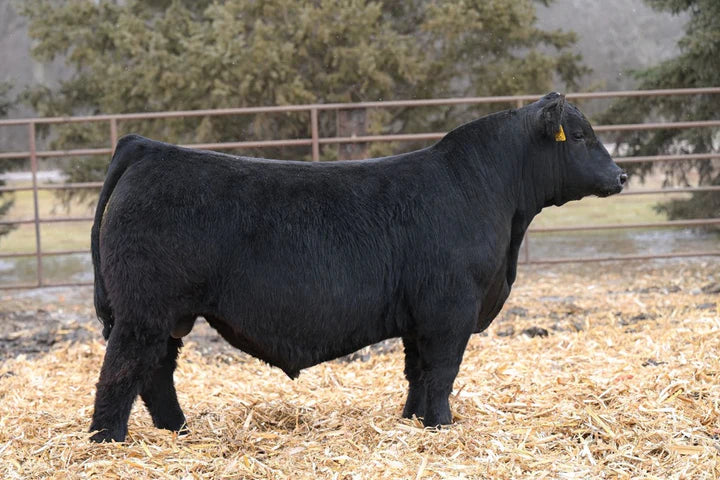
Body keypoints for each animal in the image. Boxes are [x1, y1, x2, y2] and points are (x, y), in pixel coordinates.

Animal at [88, 93, 626, 442]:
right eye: (580, 136)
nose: (621, 176)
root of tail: (148, 147)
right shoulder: (450, 310)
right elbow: (442, 372)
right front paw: (442, 426)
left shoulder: (418, 317)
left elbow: (417, 373)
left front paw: (413, 422)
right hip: (144, 311)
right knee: (122, 371)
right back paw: (108, 440)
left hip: (168, 316)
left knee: (156, 373)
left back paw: (178, 431)